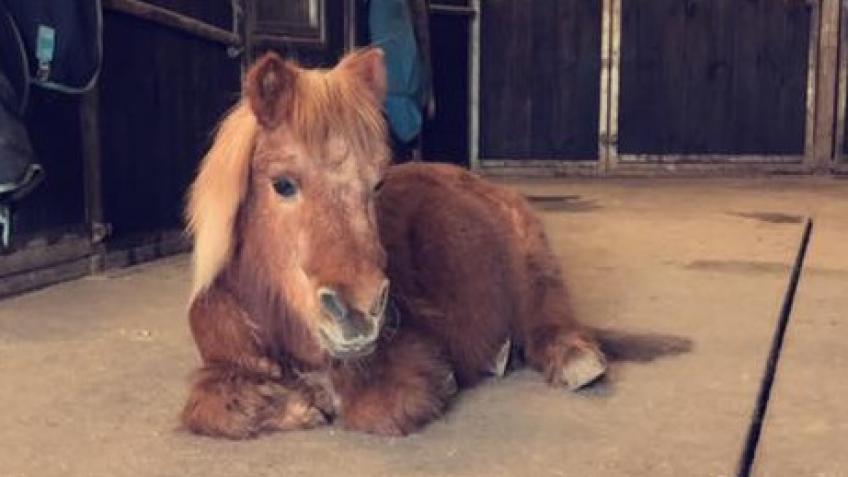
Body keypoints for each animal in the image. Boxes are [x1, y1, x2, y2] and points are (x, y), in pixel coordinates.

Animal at [181, 48, 690, 438]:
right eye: (283, 184)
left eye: (377, 184)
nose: (361, 311)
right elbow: (209, 408)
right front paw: (287, 403)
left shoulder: (402, 359)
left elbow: (375, 405)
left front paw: (317, 395)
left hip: (535, 262)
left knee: (550, 319)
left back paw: (574, 359)